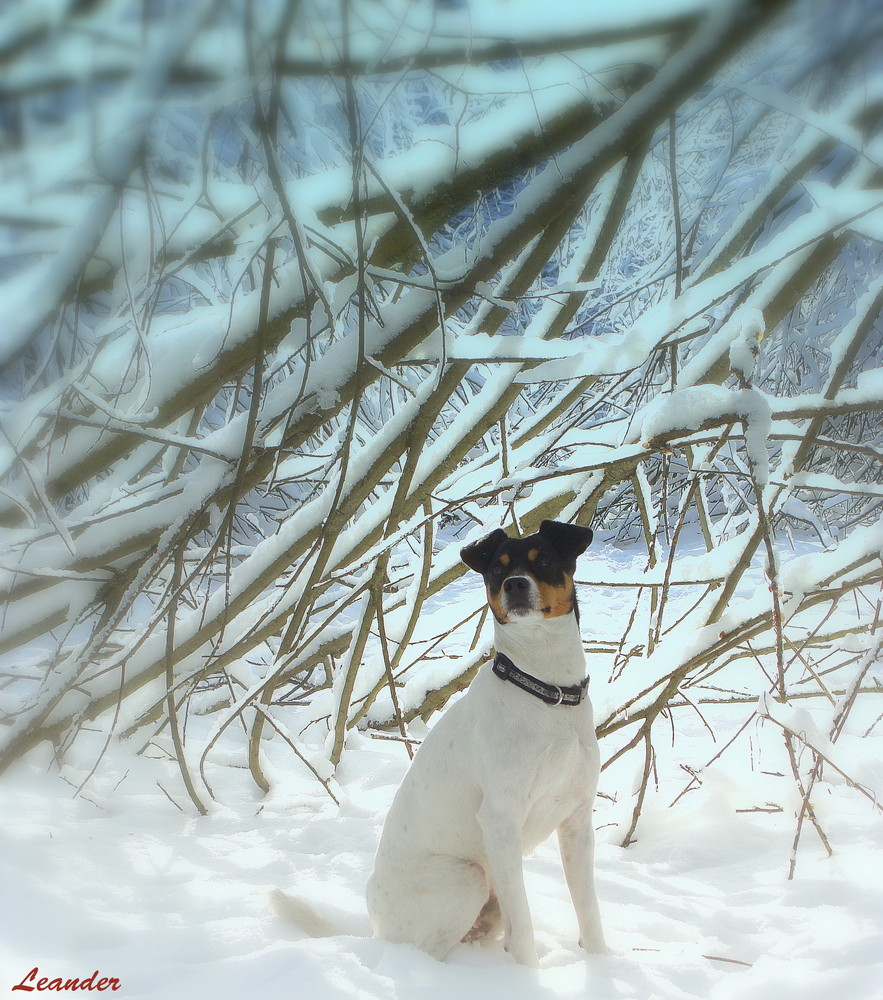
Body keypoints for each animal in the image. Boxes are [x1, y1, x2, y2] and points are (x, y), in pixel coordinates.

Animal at [362, 520, 604, 964]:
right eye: (496, 569)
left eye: (545, 560)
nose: (515, 585)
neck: (547, 692)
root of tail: (376, 926)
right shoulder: (501, 820)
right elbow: (524, 929)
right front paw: (529, 974)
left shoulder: (577, 820)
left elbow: (589, 913)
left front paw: (604, 965)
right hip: (468, 875)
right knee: (430, 951)